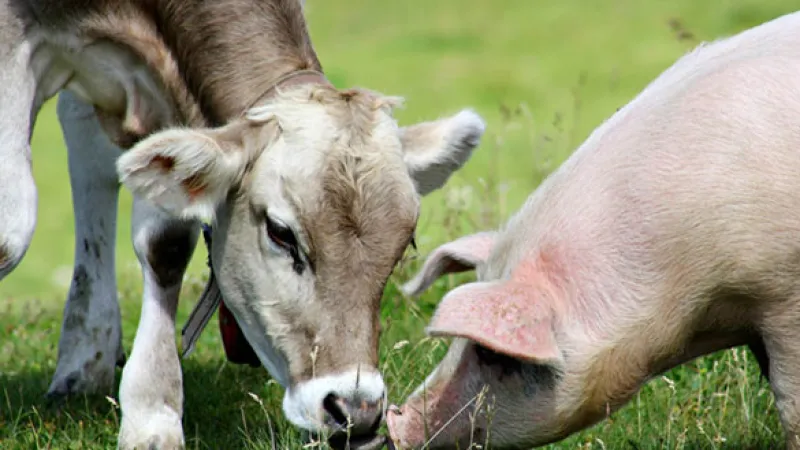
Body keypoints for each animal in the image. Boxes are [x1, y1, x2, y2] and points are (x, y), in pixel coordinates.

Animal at [0, 0, 486, 448]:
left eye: (405, 246)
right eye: (281, 233)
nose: (355, 409)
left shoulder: (168, 81)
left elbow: (166, 243)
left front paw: (151, 414)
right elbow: (11, 233)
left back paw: (86, 356)